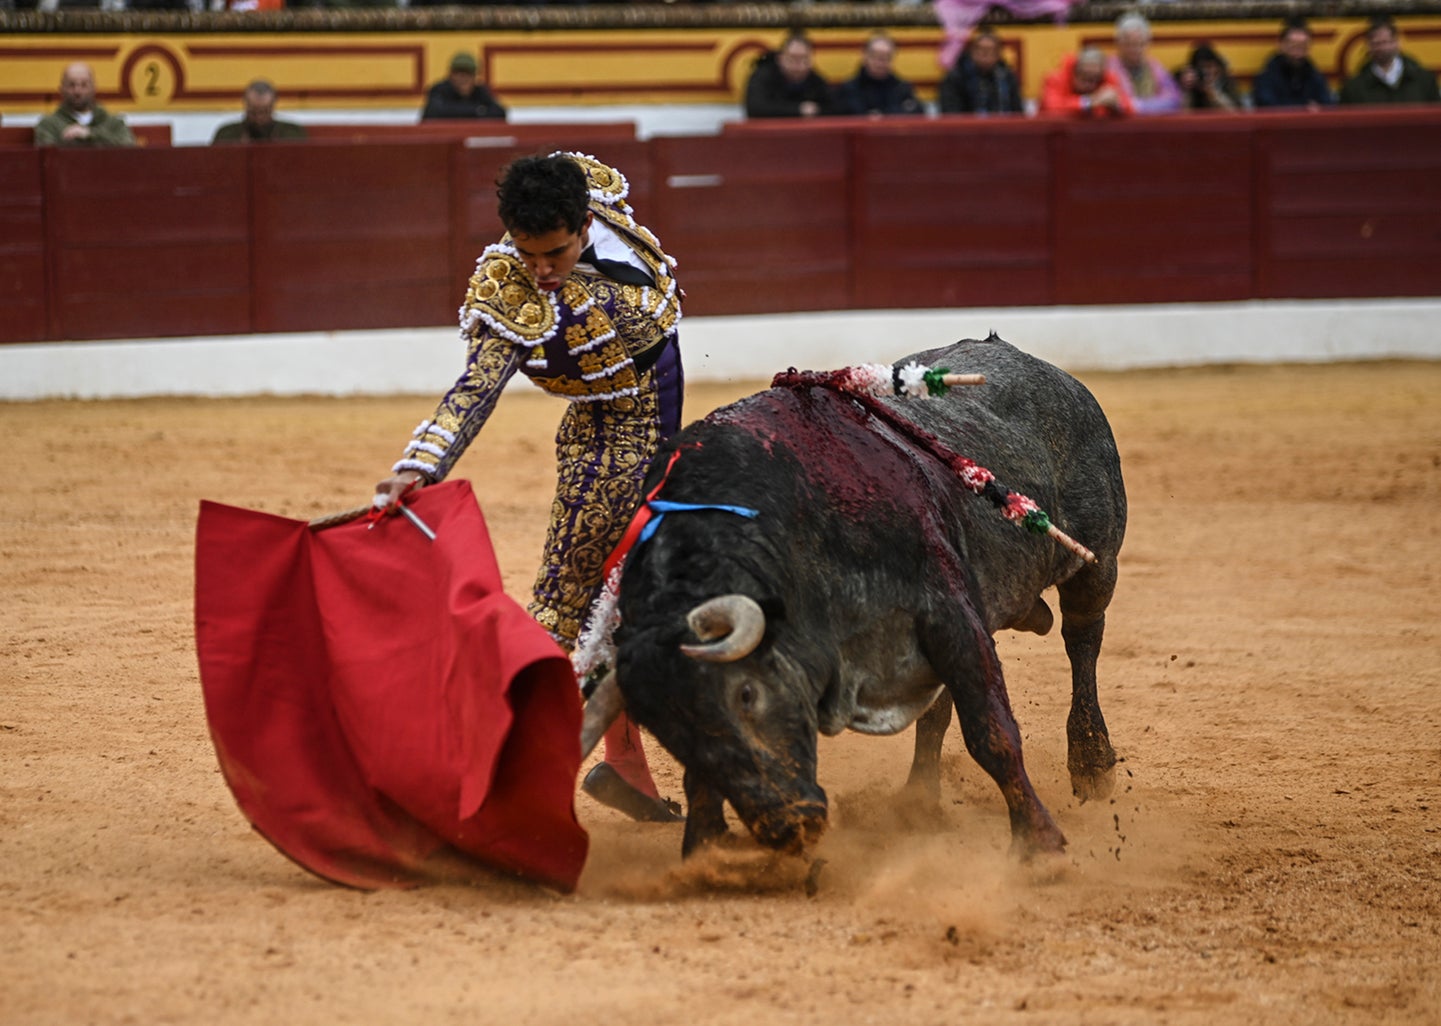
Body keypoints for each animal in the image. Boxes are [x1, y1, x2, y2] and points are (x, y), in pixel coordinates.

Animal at [579, 337, 1129, 858]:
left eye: (747, 694)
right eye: (666, 732)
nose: (786, 824)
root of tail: (1046, 370)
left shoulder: (949, 612)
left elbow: (990, 732)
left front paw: (1039, 843)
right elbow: (700, 776)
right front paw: (706, 849)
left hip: (1096, 564)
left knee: (1082, 639)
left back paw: (1091, 761)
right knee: (937, 710)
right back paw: (919, 800)